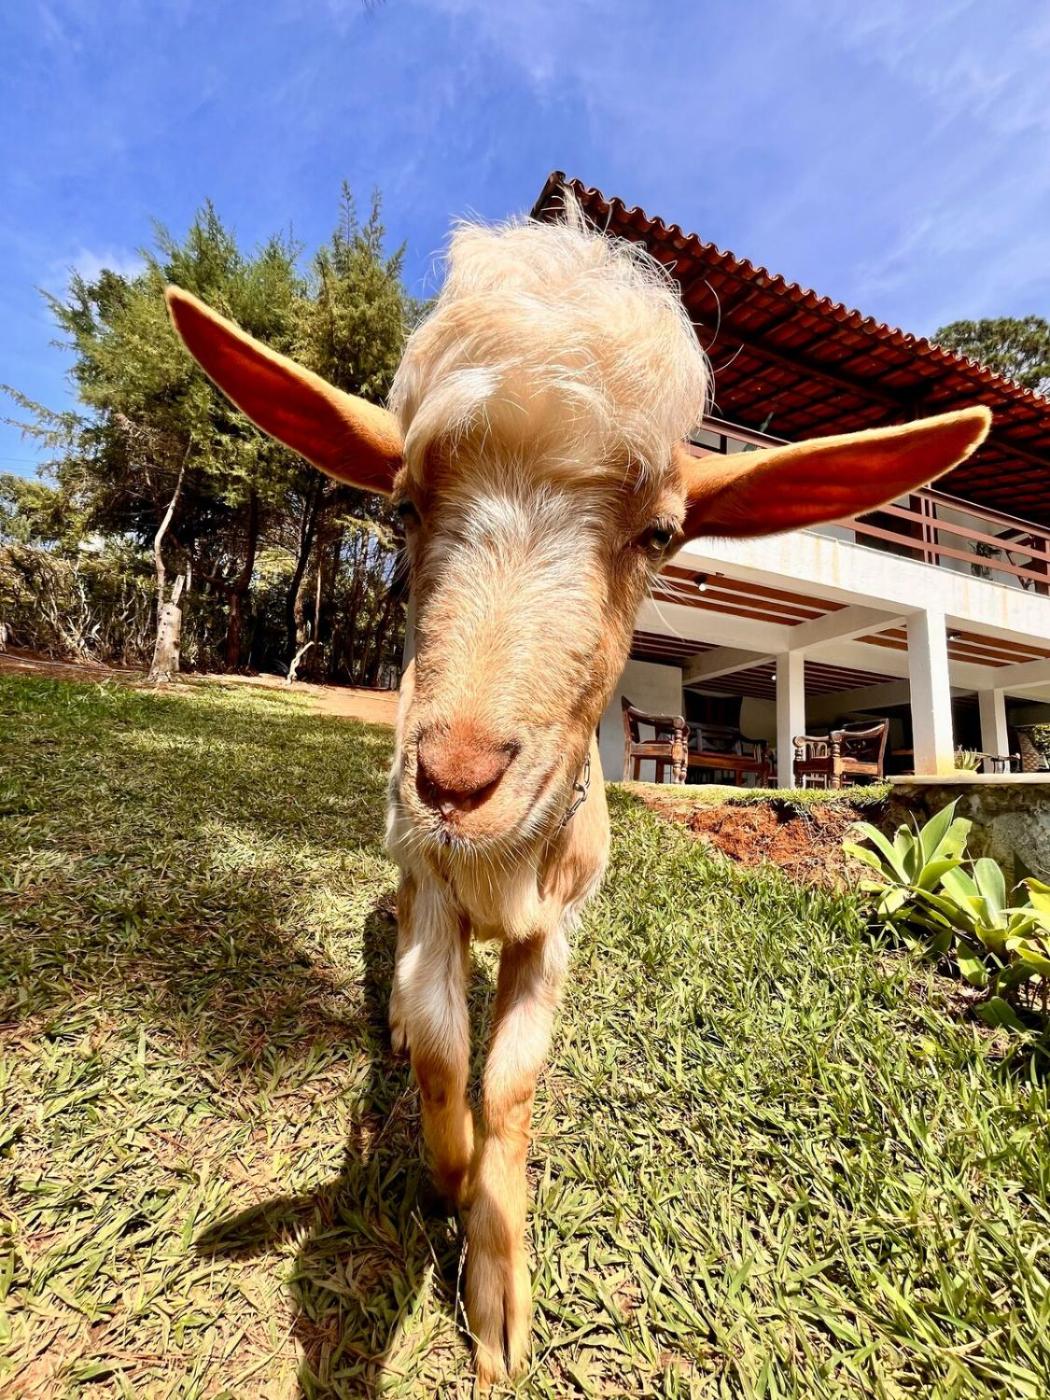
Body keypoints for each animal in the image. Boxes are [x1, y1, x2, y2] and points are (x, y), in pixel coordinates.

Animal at [166, 201, 989, 1384]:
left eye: (662, 532)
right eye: (404, 505)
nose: (455, 778)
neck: (498, 864)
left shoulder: (555, 923)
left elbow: (509, 1077)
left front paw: (497, 1285)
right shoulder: (428, 885)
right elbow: (442, 1045)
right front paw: (447, 1175)